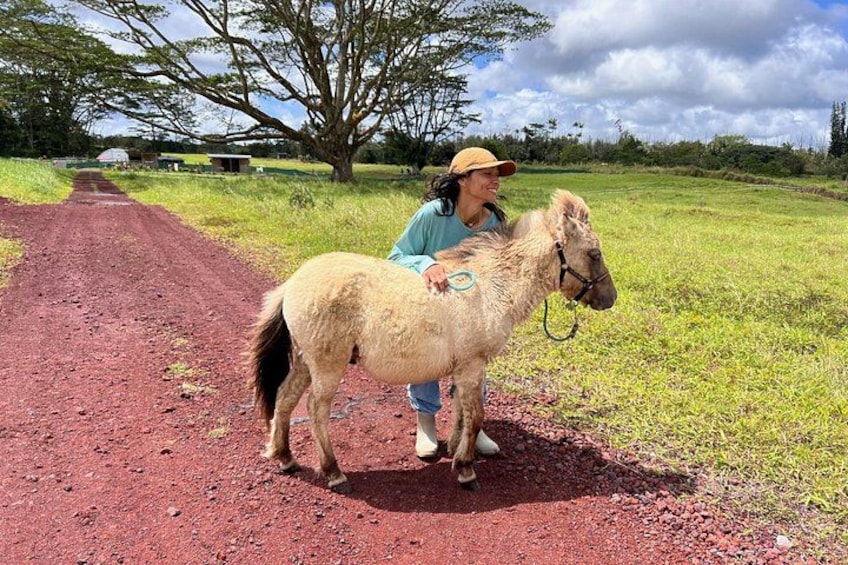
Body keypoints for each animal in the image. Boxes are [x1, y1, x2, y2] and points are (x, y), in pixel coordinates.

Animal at [249, 190, 617, 492]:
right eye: (594, 253)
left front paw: (455, 450)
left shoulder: (467, 368)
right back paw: (333, 473)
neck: (490, 287)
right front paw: (466, 470)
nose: (610, 298)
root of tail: (293, 282)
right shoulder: (472, 365)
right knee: (316, 410)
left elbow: (461, 411)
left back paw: (284, 457)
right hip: (327, 365)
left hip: (305, 362)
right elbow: (475, 414)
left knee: (284, 399)